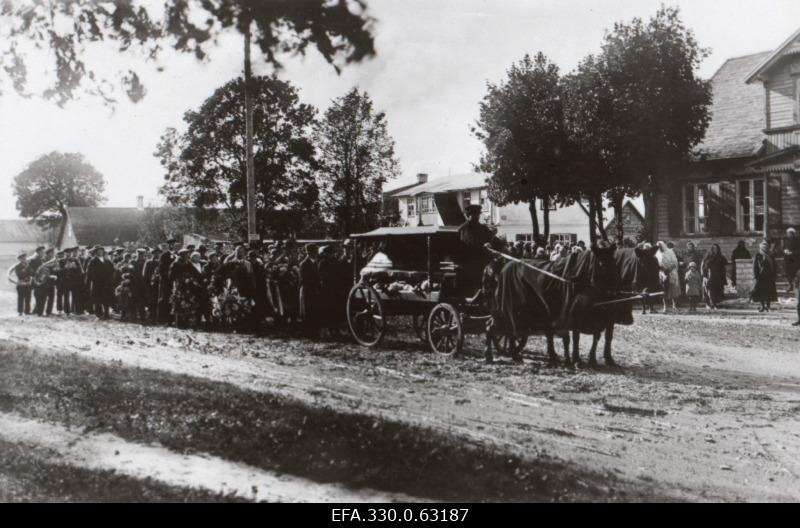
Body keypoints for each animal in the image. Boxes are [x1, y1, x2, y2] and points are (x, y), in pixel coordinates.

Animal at [488, 242, 620, 364]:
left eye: (614, 262)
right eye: (601, 263)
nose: (613, 291)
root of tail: (505, 268)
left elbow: (595, 337)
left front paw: (590, 359)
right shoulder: (573, 316)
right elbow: (574, 337)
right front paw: (575, 359)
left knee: (500, 327)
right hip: (512, 309)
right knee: (505, 329)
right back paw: (504, 354)